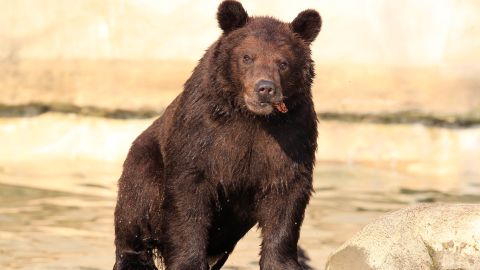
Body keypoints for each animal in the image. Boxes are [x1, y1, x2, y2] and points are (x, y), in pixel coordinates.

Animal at [114, 1, 320, 268]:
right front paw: (189, 261)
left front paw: (281, 261)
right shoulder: (203, 132)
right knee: (137, 206)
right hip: (145, 161)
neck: (252, 117)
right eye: (247, 57)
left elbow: (287, 195)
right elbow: (188, 195)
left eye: (283, 62)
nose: (265, 88)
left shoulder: (291, 134)